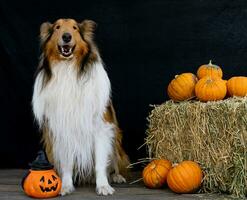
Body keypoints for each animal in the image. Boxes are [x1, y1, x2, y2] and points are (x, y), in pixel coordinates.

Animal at [31, 18, 129, 195]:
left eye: (75, 27)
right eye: (57, 27)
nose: (67, 36)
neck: (69, 69)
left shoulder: (101, 128)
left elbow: (100, 163)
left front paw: (103, 186)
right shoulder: (62, 130)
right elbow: (67, 164)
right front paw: (65, 186)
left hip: (116, 138)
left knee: (115, 161)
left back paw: (116, 176)